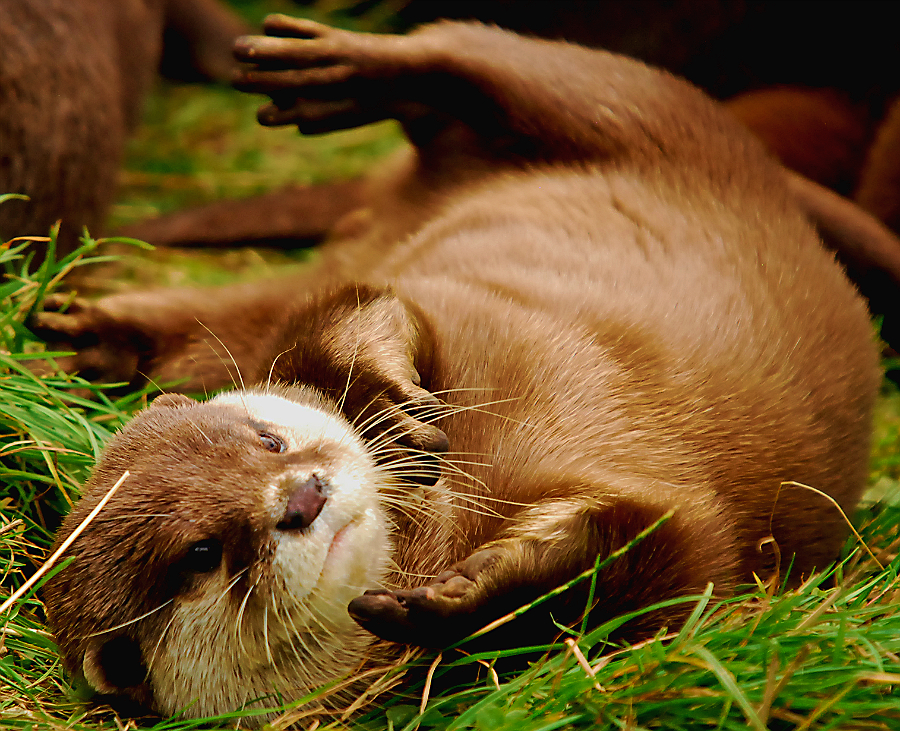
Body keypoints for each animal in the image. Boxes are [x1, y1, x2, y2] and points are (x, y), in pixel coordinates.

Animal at [40, 16, 880, 723]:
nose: (304, 497)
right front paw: (458, 601)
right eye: (201, 554)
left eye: (268, 441)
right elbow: (659, 553)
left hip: (628, 107)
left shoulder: (433, 293)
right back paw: (95, 332)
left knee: (490, 62)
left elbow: (371, 307)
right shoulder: (692, 558)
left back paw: (337, 69)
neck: (442, 526)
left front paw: (395, 410)